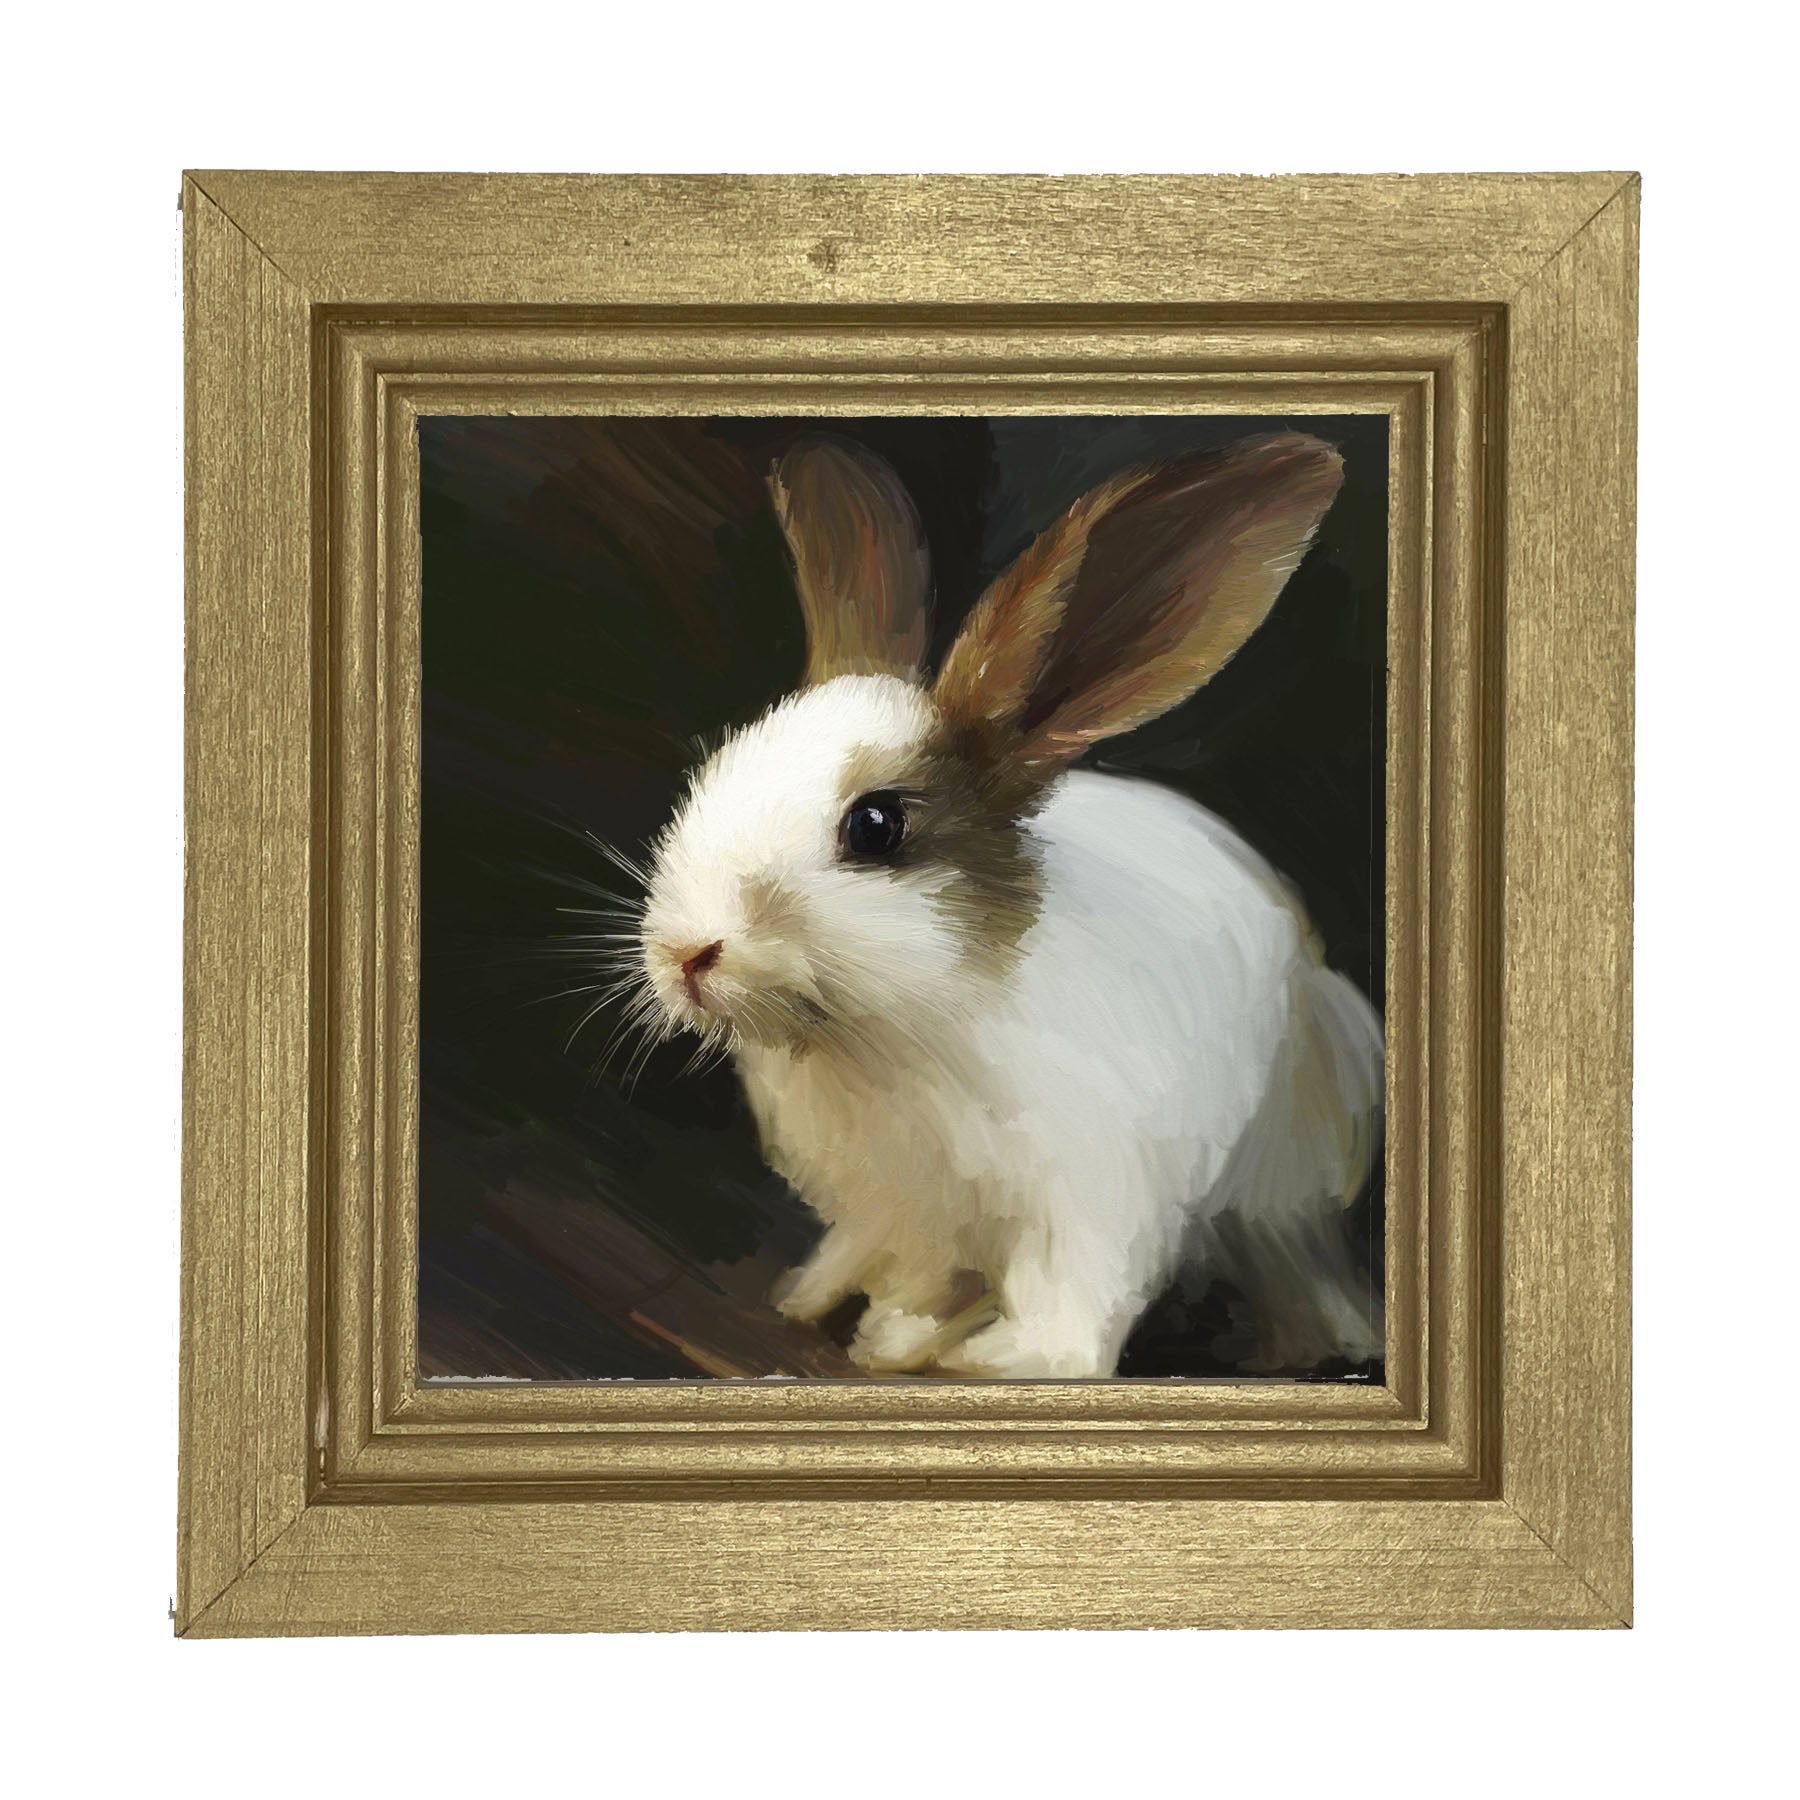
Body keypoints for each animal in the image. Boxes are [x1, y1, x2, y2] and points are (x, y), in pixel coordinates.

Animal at [629, 430, 1384, 1378]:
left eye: (876, 826)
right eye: (718, 766)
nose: (685, 953)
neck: (893, 1034)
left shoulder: (1091, 1201)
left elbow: (1072, 1303)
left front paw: (1002, 1360)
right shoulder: (899, 1212)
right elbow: (916, 1277)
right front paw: (885, 1333)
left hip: (1285, 1183)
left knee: (1295, 1264)